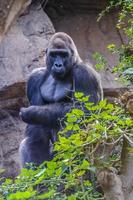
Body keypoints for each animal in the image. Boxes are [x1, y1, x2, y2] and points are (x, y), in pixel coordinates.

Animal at [19, 32, 103, 167]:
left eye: (63, 55)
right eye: (54, 55)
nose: (58, 65)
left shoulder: (85, 74)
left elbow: (84, 111)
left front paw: (31, 112)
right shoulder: (35, 77)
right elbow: (36, 129)